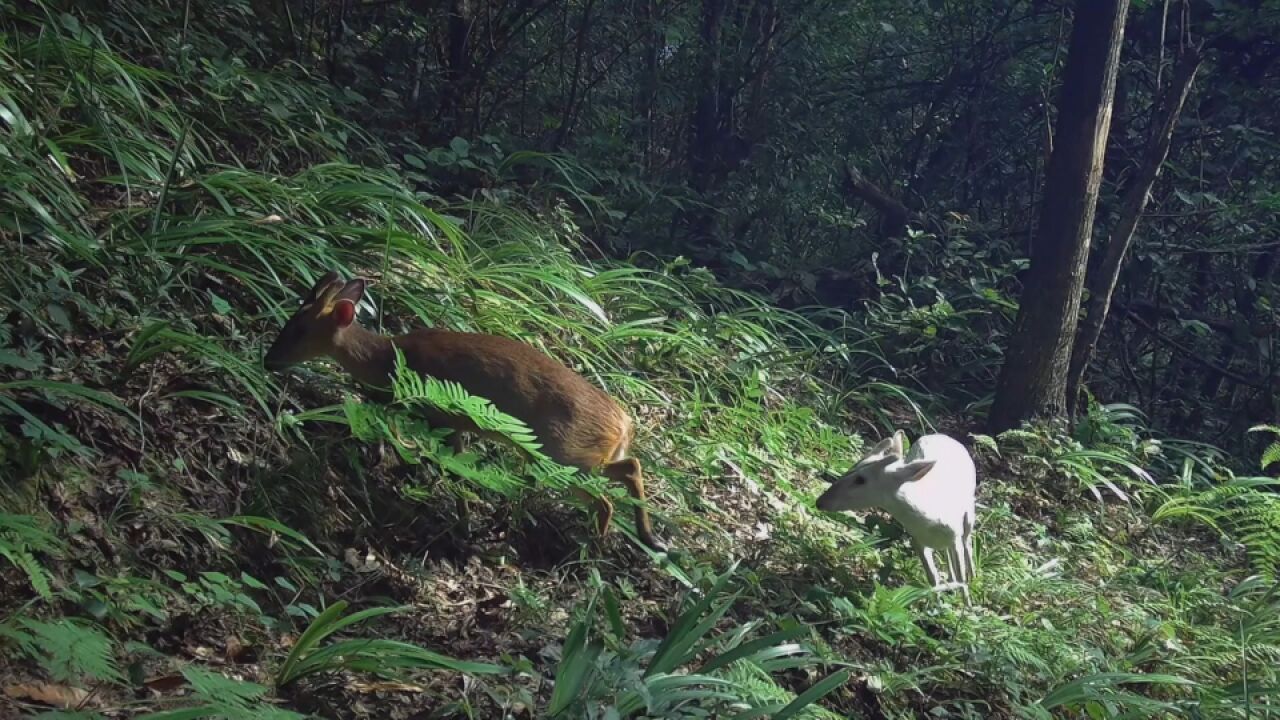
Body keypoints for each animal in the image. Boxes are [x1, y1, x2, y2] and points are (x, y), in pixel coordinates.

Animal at [258, 271, 660, 545]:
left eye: (298, 330)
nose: (268, 360)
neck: (387, 359)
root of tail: (625, 424)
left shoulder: (441, 413)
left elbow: (444, 466)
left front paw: (459, 521)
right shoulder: (453, 423)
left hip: (563, 452)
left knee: (606, 499)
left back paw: (597, 544)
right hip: (573, 455)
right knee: (631, 466)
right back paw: (647, 535)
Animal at [819, 427, 977, 597]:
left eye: (860, 480)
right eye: (853, 467)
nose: (820, 501)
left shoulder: (955, 536)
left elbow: (962, 580)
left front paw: (966, 600)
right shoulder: (917, 540)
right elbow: (933, 580)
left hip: (969, 511)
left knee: (967, 542)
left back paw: (973, 577)